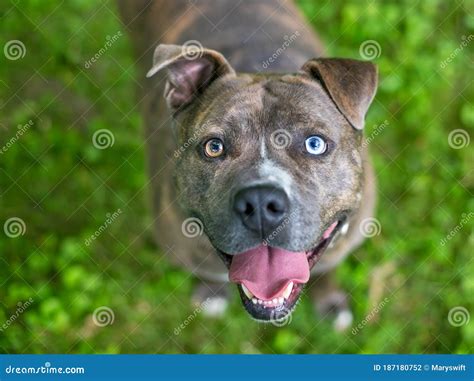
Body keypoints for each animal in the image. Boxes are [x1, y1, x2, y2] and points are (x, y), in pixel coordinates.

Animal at [118, 0, 378, 328]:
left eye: (315, 144)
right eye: (214, 147)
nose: (261, 203)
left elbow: (325, 266)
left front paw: (329, 300)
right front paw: (212, 293)